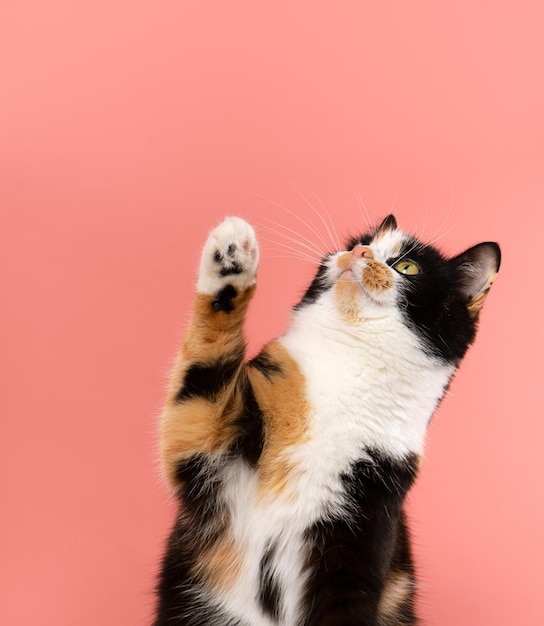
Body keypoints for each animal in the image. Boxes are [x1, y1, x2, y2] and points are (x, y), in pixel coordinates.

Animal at [153, 212, 502, 620]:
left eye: (407, 267)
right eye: (358, 242)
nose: (361, 252)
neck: (348, 367)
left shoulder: (364, 528)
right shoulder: (205, 441)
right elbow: (204, 366)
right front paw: (231, 256)